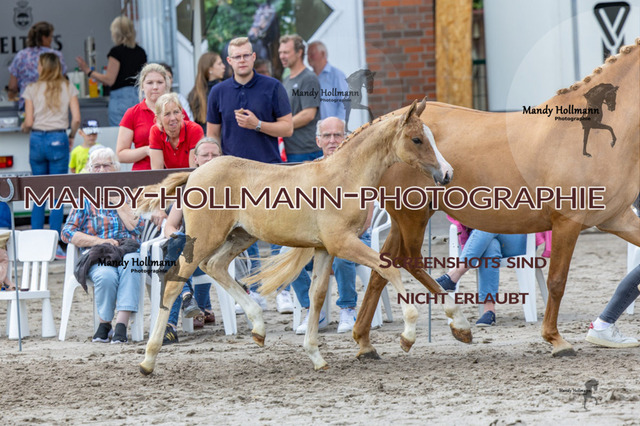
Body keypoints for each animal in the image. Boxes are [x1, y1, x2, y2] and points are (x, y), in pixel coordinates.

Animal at [137, 99, 461, 374]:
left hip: (241, 237)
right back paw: (148, 360)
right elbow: (388, 268)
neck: (344, 177)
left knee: (214, 266)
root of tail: (194, 173)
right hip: (205, 237)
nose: (447, 173)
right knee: (174, 282)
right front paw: (408, 335)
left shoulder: (324, 249)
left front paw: (316, 356)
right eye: (417, 139)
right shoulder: (342, 243)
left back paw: (258, 328)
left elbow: (317, 296)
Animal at [352, 38, 640, 361]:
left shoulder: (617, 218)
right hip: (412, 215)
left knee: (382, 269)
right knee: (407, 261)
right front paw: (556, 340)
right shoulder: (568, 222)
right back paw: (455, 326)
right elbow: (556, 281)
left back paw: (367, 342)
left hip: (405, 218)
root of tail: (382, 123)